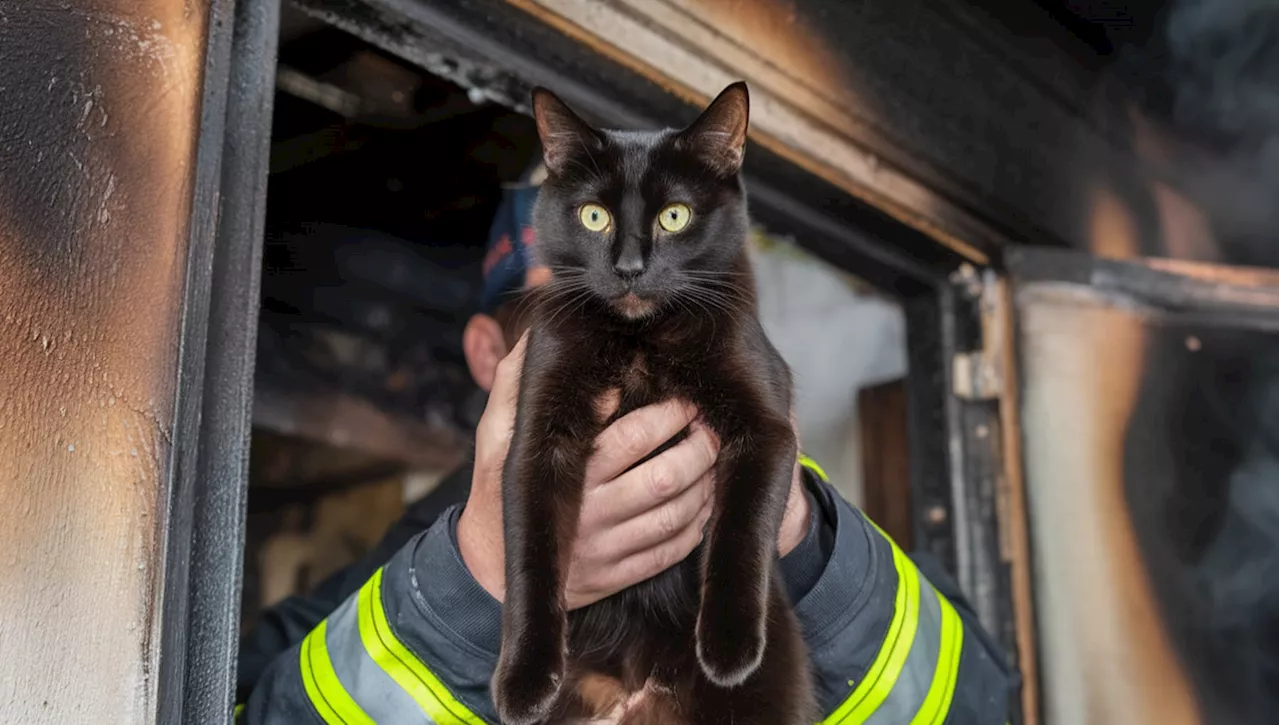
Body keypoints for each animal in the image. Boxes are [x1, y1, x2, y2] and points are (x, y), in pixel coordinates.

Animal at [488, 82, 808, 725]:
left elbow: (740, 528)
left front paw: (729, 646)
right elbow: (531, 554)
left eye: (674, 216)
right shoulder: (537, 436)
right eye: (593, 216)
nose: (629, 267)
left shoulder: (766, 424)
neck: (640, 341)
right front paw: (523, 680)